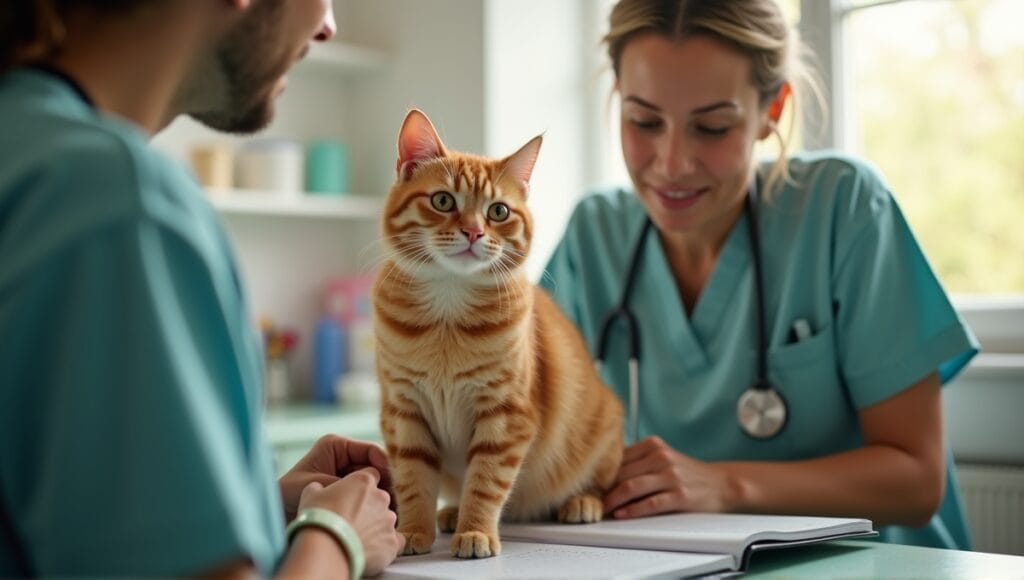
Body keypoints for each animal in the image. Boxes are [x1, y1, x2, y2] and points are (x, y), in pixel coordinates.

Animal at [372, 109, 618, 557]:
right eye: (443, 201)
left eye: (499, 211)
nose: (473, 232)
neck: (447, 313)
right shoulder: (404, 413)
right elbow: (413, 481)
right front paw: (414, 531)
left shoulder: (506, 415)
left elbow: (486, 481)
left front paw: (476, 531)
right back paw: (449, 512)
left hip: (603, 438)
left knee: (600, 486)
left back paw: (581, 503)